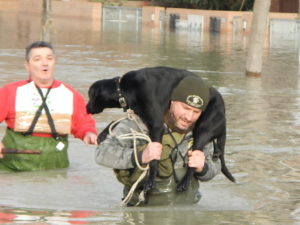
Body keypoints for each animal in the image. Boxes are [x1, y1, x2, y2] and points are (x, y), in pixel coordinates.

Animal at [88, 66, 236, 192]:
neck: (125, 88)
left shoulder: (156, 125)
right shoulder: (139, 116)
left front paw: (150, 180)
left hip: (203, 131)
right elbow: (115, 121)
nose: (86, 108)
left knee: (194, 162)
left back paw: (184, 183)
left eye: (90, 96)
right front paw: (103, 133)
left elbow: (154, 160)